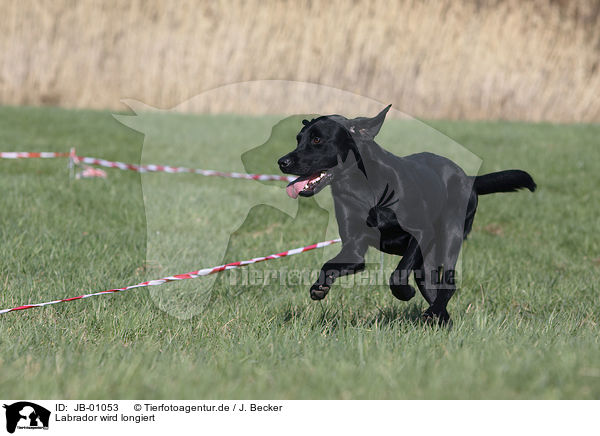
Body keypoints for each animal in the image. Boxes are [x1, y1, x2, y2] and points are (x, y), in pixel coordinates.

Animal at [276, 105, 536, 324]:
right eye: (299, 139)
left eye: (317, 139)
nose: (282, 161)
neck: (364, 189)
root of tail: (469, 179)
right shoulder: (354, 248)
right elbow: (328, 265)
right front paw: (319, 287)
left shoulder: (422, 232)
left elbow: (397, 275)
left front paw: (404, 292)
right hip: (426, 263)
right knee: (434, 289)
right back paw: (440, 319)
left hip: (450, 237)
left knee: (448, 284)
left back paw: (433, 312)